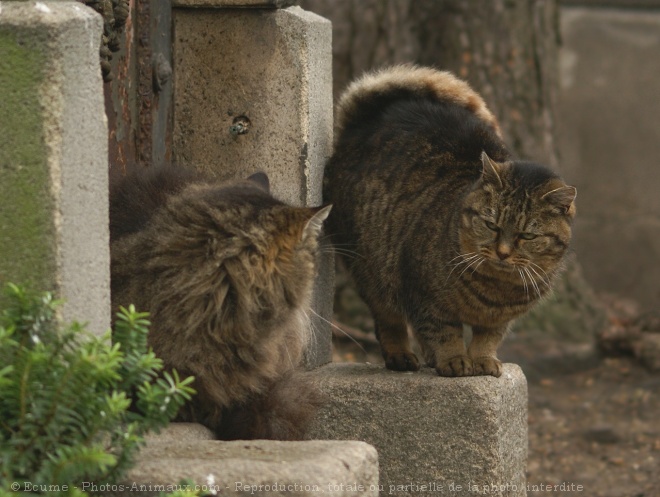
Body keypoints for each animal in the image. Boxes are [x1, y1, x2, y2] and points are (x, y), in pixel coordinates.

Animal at [322, 65, 576, 376]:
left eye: (527, 236)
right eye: (491, 225)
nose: (503, 253)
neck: (495, 290)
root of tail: (363, 122)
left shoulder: (498, 321)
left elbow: (487, 338)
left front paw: (482, 359)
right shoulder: (426, 298)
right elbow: (444, 332)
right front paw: (454, 359)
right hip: (373, 269)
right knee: (388, 320)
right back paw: (401, 356)